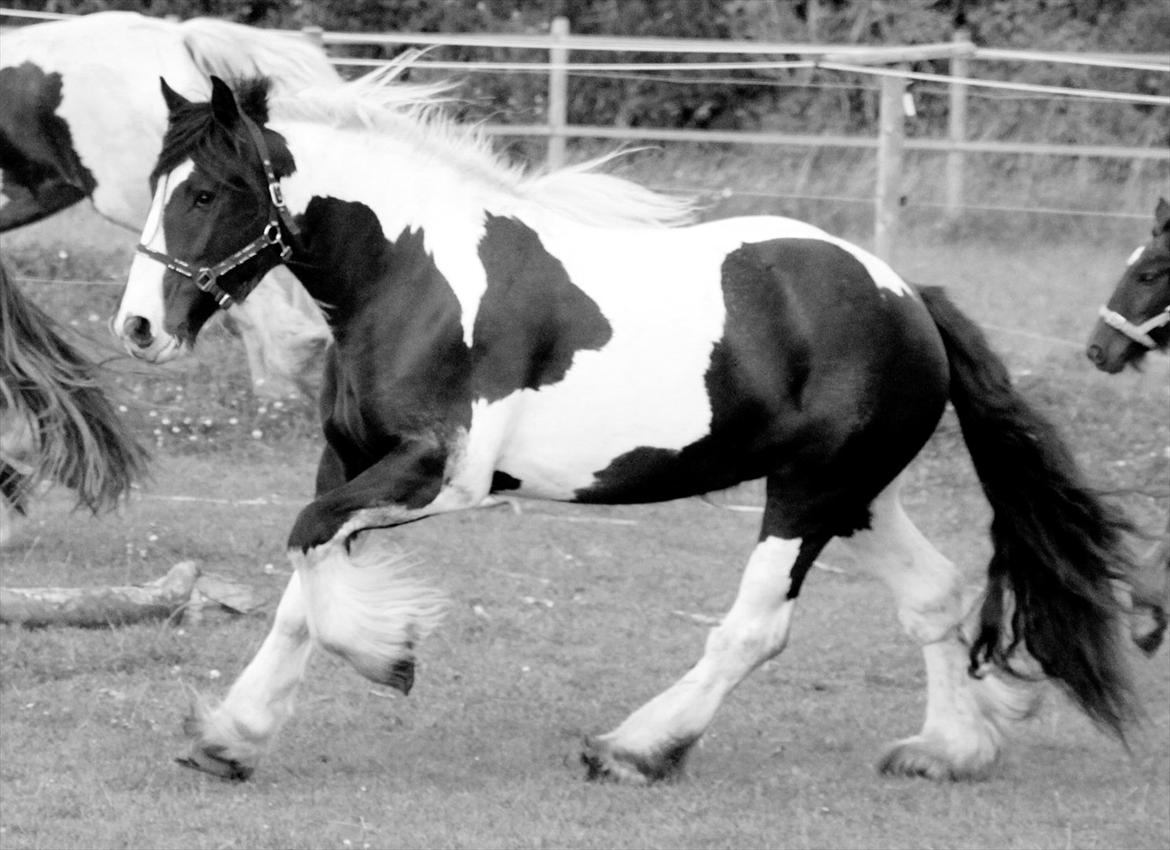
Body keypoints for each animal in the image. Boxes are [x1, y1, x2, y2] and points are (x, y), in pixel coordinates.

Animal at [114, 73, 1137, 786]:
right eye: (159, 182)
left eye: (206, 193)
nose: (140, 328)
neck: (412, 276)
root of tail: (905, 296)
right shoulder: (352, 461)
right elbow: (301, 581)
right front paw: (230, 739)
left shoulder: (440, 475)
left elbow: (307, 551)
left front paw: (387, 655)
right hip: (859, 495)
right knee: (933, 595)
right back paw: (951, 749)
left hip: (809, 494)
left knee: (755, 629)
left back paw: (635, 749)